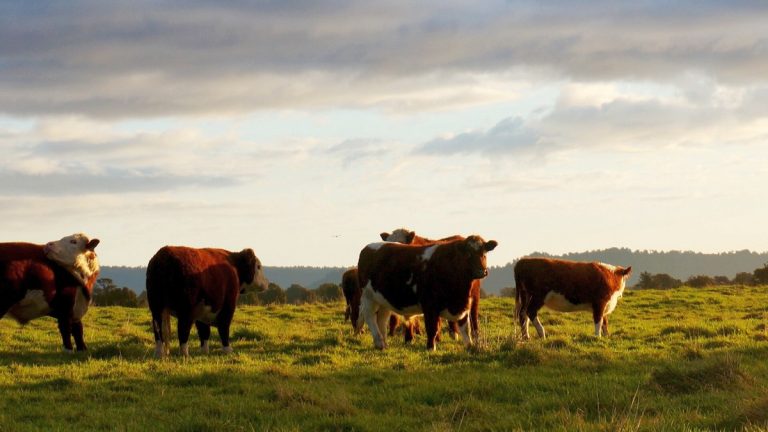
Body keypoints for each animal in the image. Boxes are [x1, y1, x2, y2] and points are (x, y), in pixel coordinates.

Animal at [356, 233, 496, 352]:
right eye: (468, 254)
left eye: (484, 253)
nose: (481, 271)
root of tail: (368, 247)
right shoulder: (430, 305)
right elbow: (432, 328)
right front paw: (430, 347)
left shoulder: (464, 303)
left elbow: (466, 328)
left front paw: (470, 346)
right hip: (368, 296)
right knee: (369, 316)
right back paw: (379, 342)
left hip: (383, 299)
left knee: (381, 319)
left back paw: (383, 343)